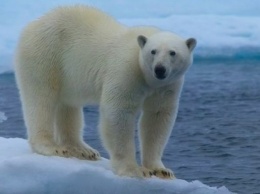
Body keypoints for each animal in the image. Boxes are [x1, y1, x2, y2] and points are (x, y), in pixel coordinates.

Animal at [14, 5, 195, 180]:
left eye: (173, 52)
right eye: (153, 51)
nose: (160, 69)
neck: (148, 77)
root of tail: (33, 24)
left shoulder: (167, 86)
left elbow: (157, 118)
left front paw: (160, 170)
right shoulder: (126, 71)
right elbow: (118, 114)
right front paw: (133, 170)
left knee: (67, 105)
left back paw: (82, 150)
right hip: (46, 54)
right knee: (41, 99)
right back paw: (51, 147)